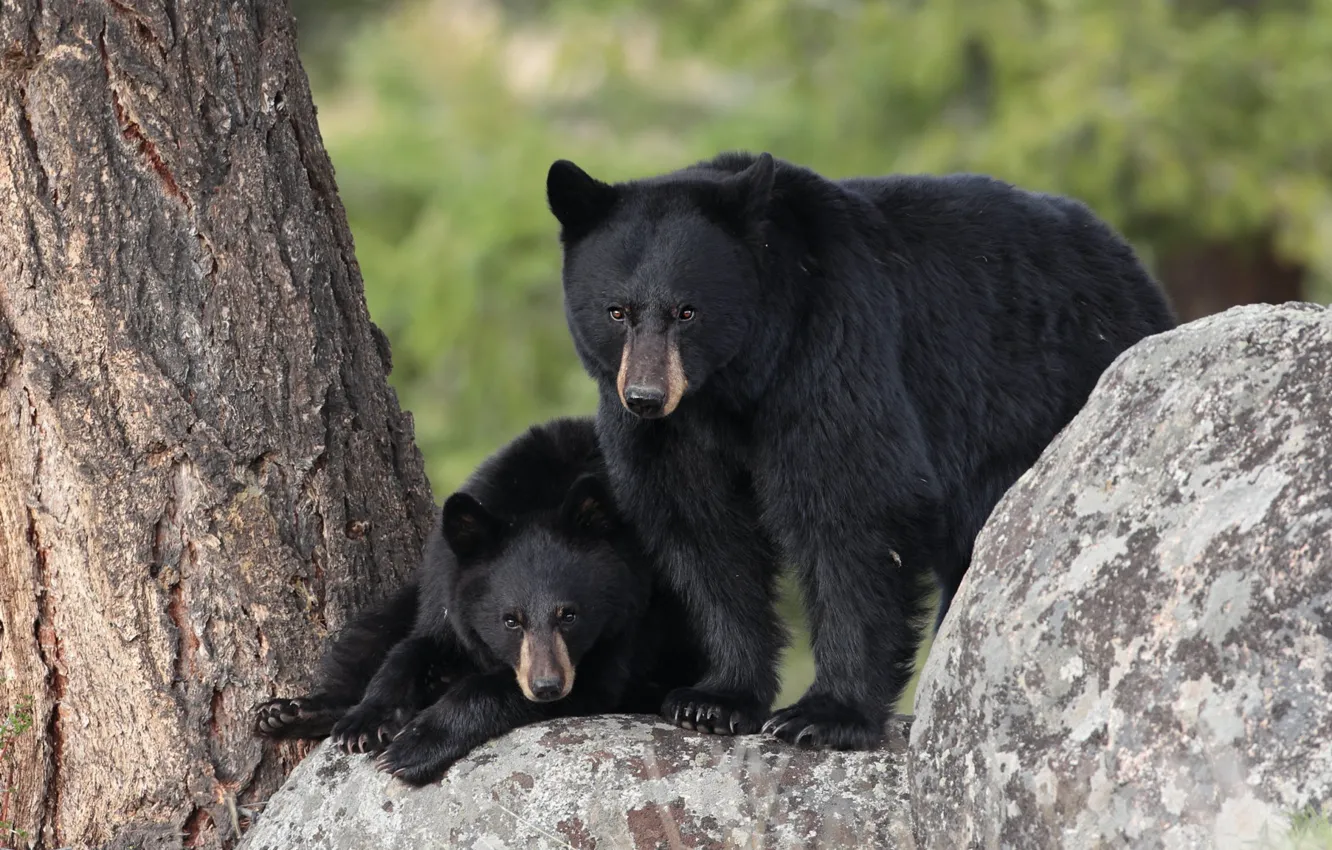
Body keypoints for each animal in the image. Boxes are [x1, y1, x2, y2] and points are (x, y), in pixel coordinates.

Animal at [253, 421, 703, 788]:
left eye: (570, 615)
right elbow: (415, 644)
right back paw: (291, 713)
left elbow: (571, 683)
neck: (540, 494)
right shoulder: (447, 582)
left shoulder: (628, 615)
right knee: (373, 628)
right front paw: (365, 720)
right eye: (510, 620)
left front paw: (413, 746)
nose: (547, 687)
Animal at [546, 153, 1172, 751]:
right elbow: (704, 533)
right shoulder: (668, 438)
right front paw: (714, 700)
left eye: (686, 311)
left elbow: (852, 509)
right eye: (616, 312)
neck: (732, 388)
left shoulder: (832, 347)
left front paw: (823, 715)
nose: (646, 397)